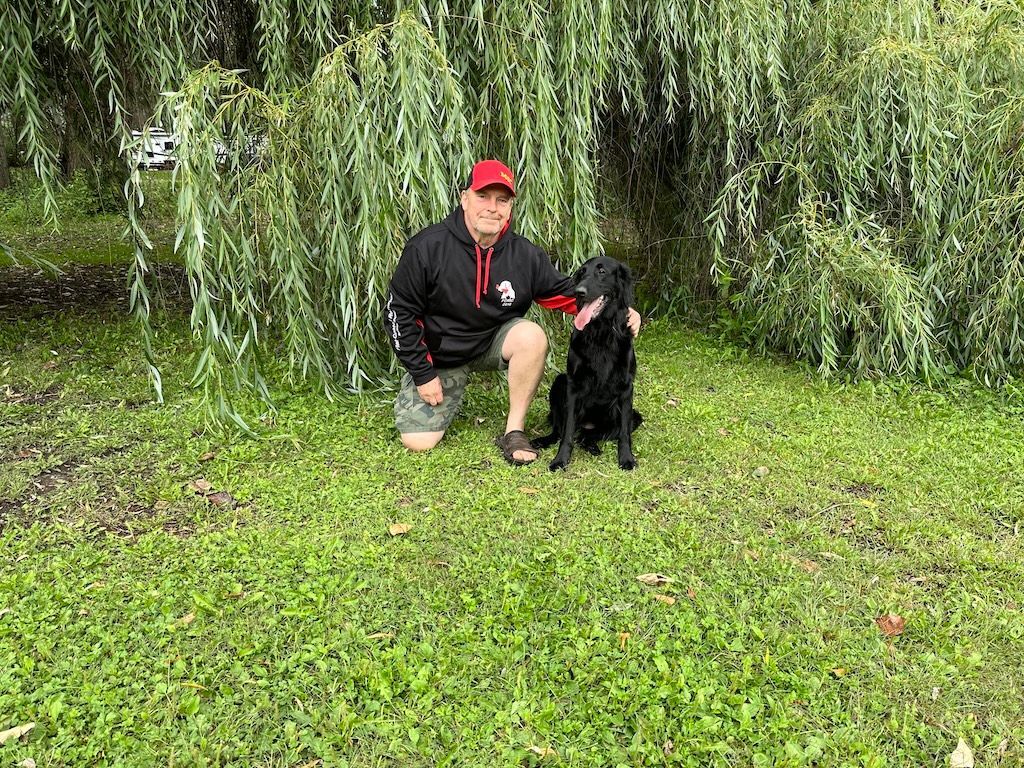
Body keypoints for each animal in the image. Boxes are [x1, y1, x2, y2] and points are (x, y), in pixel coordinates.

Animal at [536, 257, 638, 468]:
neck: (600, 333)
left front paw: (626, 458)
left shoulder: (626, 387)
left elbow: (624, 433)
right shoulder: (573, 386)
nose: (578, 291)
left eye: (602, 271)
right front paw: (560, 459)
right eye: (581, 272)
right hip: (559, 382)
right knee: (560, 431)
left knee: (591, 435)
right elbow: (567, 432)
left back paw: (592, 446)